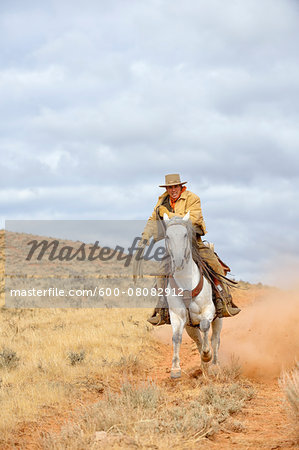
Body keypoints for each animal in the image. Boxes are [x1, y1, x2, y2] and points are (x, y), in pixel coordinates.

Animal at [164, 213, 223, 378]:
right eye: (167, 236)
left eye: (185, 234)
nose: (178, 261)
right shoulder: (177, 315)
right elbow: (176, 337)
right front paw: (175, 369)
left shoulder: (209, 310)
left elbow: (205, 327)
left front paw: (207, 355)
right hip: (190, 326)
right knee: (197, 340)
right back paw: (204, 368)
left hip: (219, 318)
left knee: (215, 338)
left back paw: (214, 365)